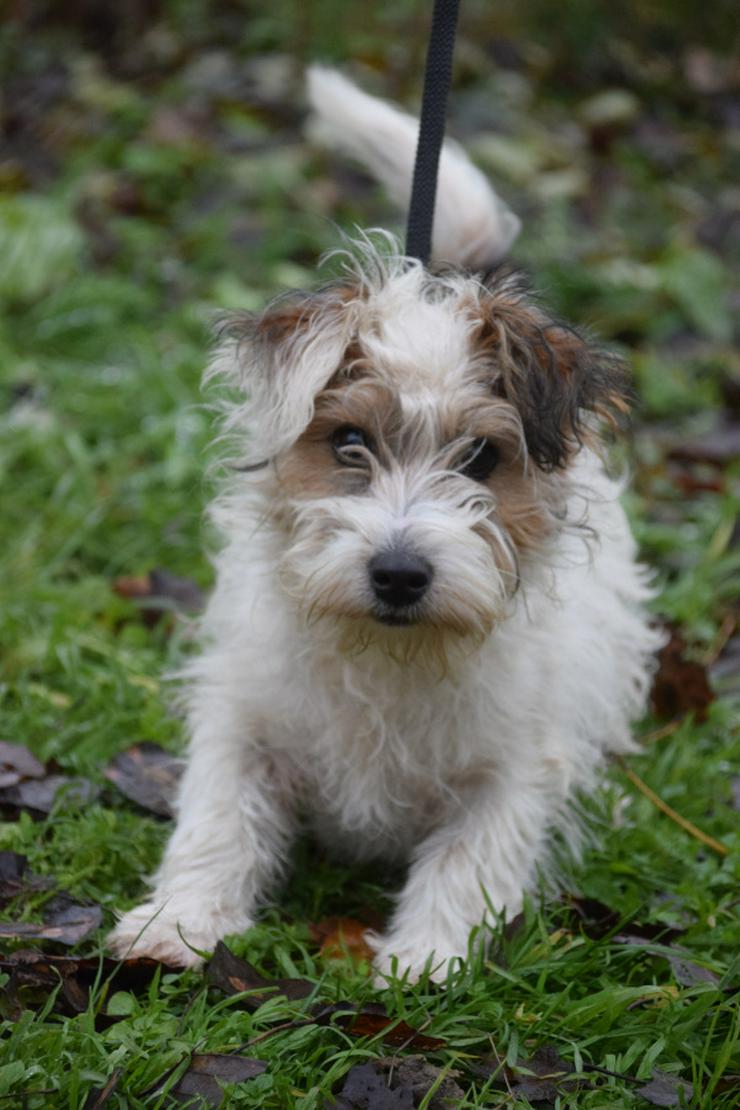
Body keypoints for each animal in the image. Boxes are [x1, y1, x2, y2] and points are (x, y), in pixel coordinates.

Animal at [109, 67, 661, 981]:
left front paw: (426, 959)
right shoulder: (244, 720)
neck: (389, 652)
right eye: (348, 444)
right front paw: (178, 922)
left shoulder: (512, 766)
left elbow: (473, 856)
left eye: (480, 458)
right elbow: (219, 819)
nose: (399, 575)